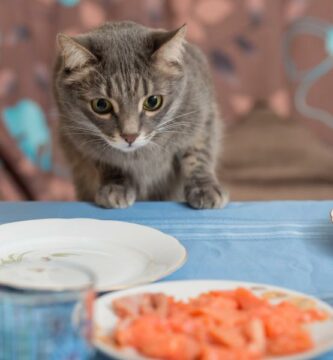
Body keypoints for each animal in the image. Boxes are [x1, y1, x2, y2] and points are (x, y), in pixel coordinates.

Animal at [53, 20, 226, 208]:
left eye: (153, 101)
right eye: (101, 105)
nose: (130, 136)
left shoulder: (203, 118)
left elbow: (198, 155)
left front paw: (204, 187)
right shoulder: (78, 142)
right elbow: (109, 163)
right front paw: (117, 186)